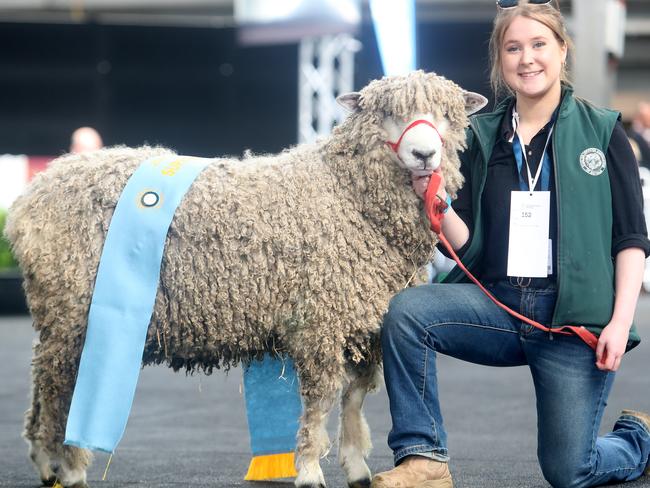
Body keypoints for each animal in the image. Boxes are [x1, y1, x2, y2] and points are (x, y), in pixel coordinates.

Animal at [3, 69, 480, 488]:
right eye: (386, 113)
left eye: (447, 114)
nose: (424, 155)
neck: (344, 193)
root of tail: (32, 195)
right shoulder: (320, 317)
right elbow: (321, 399)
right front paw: (310, 468)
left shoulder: (367, 318)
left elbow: (355, 397)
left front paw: (357, 466)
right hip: (74, 309)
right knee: (60, 387)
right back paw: (66, 467)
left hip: (58, 315)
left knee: (42, 383)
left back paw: (46, 460)